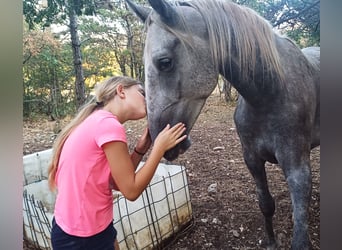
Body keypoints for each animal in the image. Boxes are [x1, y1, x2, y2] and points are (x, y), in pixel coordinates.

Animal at [126, 0, 320, 248]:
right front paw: (270, 242)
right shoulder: (252, 159)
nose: (161, 141)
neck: (271, 93)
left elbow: (300, 229)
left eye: (165, 62)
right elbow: (266, 204)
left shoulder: (297, 168)